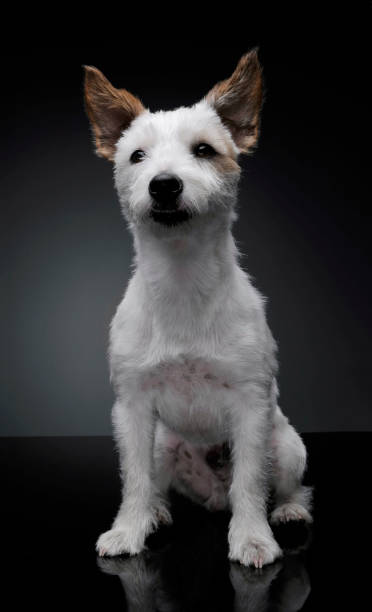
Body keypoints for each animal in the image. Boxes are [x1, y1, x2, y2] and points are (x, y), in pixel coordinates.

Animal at [83, 49, 310, 568]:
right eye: (137, 156)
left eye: (204, 150)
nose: (164, 185)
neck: (182, 277)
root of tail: (213, 496)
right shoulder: (132, 408)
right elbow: (134, 481)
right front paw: (129, 530)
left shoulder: (250, 405)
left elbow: (251, 480)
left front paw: (253, 537)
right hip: (162, 444)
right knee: (155, 483)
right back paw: (156, 514)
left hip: (288, 445)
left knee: (286, 486)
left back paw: (287, 511)